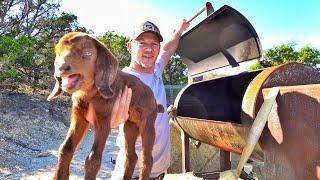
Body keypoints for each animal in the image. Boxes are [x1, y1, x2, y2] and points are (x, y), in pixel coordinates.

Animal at [47, 31, 164, 179]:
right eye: (57, 52)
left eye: (87, 53)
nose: (61, 68)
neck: (90, 95)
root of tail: (154, 101)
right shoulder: (79, 116)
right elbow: (65, 148)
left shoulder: (104, 119)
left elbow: (93, 158)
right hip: (130, 125)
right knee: (131, 156)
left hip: (148, 123)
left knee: (147, 158)